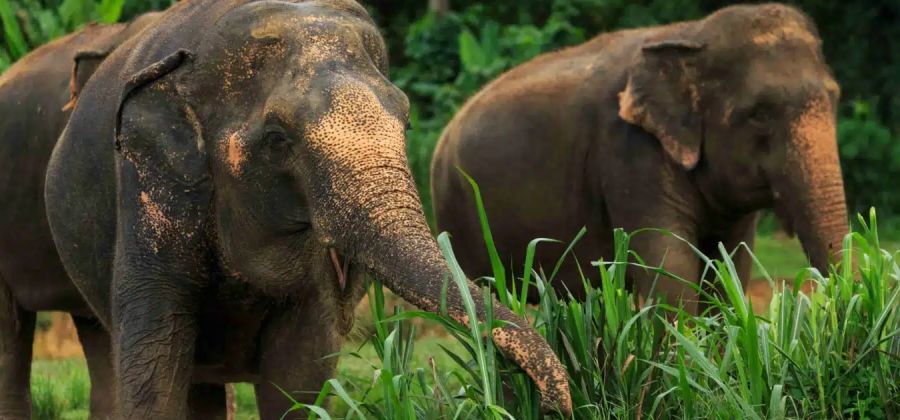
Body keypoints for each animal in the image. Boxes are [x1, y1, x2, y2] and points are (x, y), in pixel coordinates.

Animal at [42, 0, 572, 418]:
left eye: (405, 120)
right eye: (278, 139)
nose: (552, 402)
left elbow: (300, 369)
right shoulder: (149, 190)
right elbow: (155, 358)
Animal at [431, 3, 849, 311]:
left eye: (835, 97)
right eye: (760, 114)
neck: (691, 35)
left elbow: (727, 271)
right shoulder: (629, 154)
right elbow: (671, 271)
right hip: (459, 216)